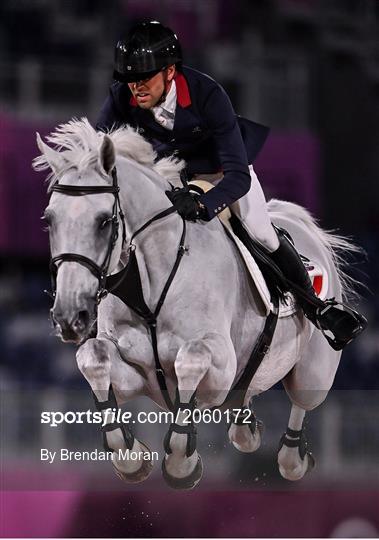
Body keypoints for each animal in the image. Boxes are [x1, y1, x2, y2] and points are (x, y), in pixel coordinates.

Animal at [35, 118, 362, 490]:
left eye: (104, 221)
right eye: (49, 220)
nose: (69, 316)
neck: (150, 283)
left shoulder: (220, 364)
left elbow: (191, 359)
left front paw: (181, 464)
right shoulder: (135, 375)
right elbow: (93, 357)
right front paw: (131, 459)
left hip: (312, 371)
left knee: (301, 402)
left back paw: (293, 456)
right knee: (246, 402)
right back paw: (247, 429)